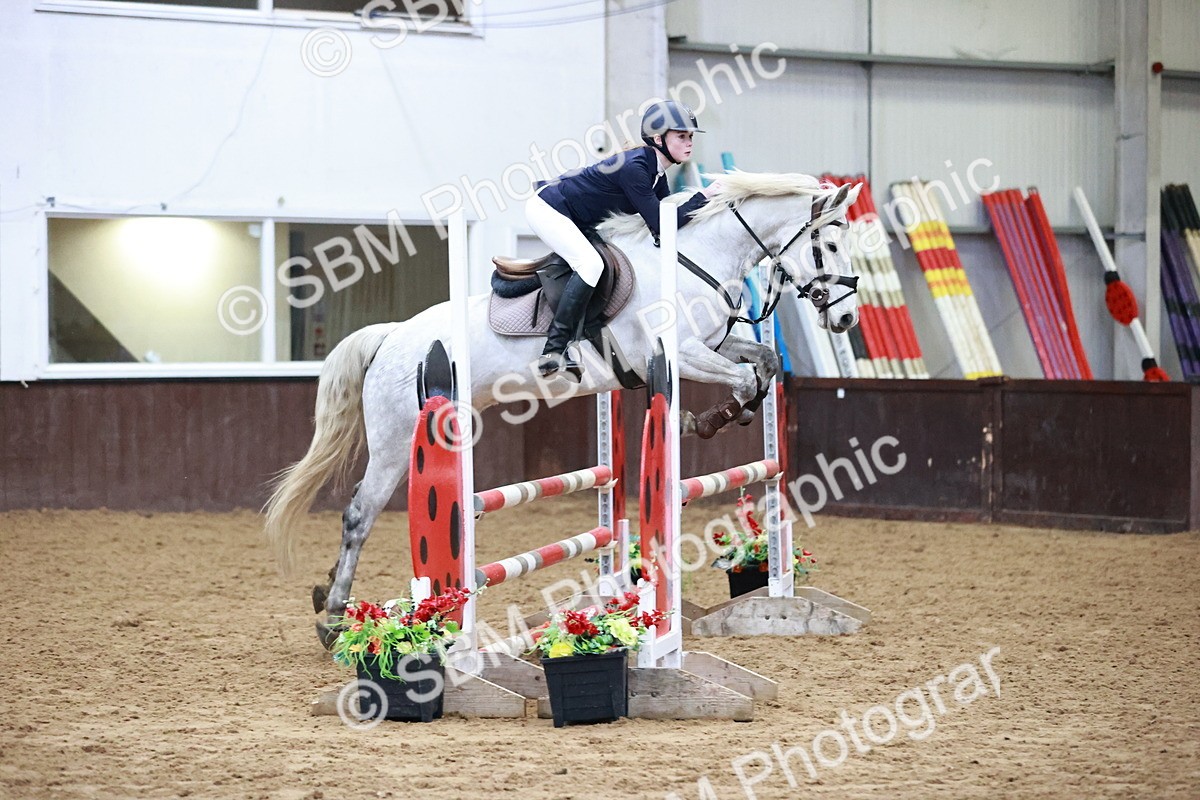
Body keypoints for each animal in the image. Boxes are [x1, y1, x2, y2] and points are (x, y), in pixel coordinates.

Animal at [264, 171, 863, 644]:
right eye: (830, 247)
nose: (846, 319)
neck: (697, 259)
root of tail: (392, 337)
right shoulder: (682, 354)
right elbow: (742, 378)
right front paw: (706, 419)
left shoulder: (713, 346)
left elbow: (762, 362)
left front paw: (724, 416)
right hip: (395, 439)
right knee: (359, 514)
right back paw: (333, 618)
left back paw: (329, 600)